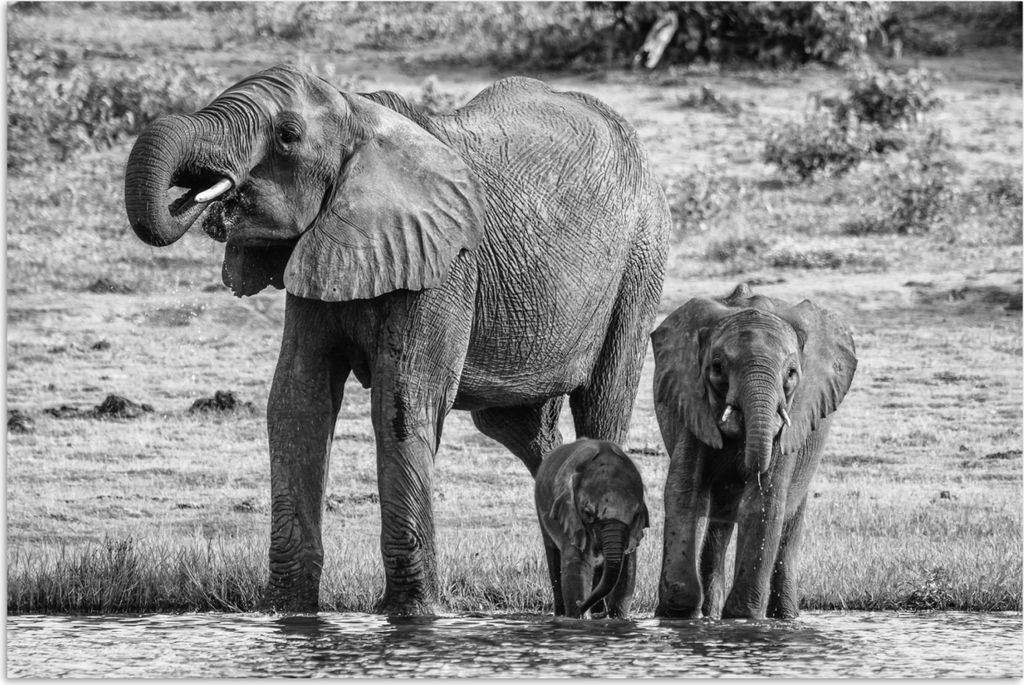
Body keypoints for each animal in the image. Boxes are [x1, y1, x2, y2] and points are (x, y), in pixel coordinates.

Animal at [534, 438, 649, 618]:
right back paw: (562, 614)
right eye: (588, 513)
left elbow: (627, 568)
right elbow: (578, 566)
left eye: (635, 515)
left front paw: (618, 618)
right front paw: (579, 617)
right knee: (552, 554)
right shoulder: (572, 519)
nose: (580, 604)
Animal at [651, 283, 856, 619]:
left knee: (787, 521)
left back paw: (785, 618)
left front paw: (743, 616)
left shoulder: (791, 417)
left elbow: (763, 500)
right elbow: (685, 491)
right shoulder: (692, 401)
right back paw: (710, 615)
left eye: (791, 373)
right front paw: (677, 613)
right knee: (717, 522)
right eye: (717, 367)